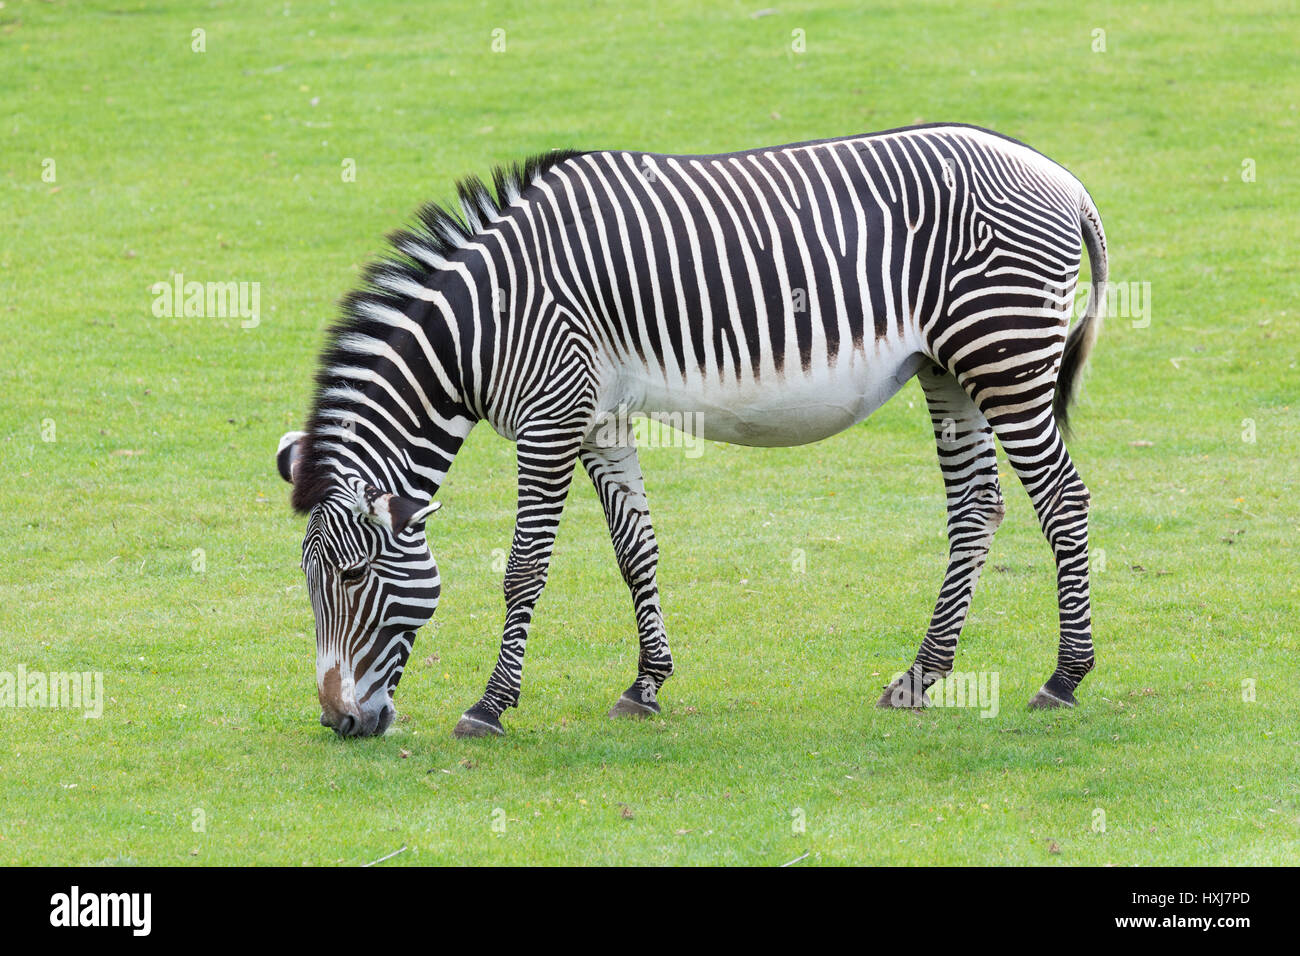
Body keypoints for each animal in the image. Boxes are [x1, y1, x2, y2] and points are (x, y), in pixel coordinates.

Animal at [276, 123, 1108, 738]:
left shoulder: (550, 418)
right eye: (310, 583)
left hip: (1003, 355)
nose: (339, 723)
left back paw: (1064, 676)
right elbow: (634, 550)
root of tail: (1061, 177)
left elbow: (524, 570)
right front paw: (646, 684)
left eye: (351, 577)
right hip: (948, 368)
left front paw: (489, 706)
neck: (484, 324)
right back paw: (921, 676)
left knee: (1062, 500)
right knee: (976, 509)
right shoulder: (598, 418)